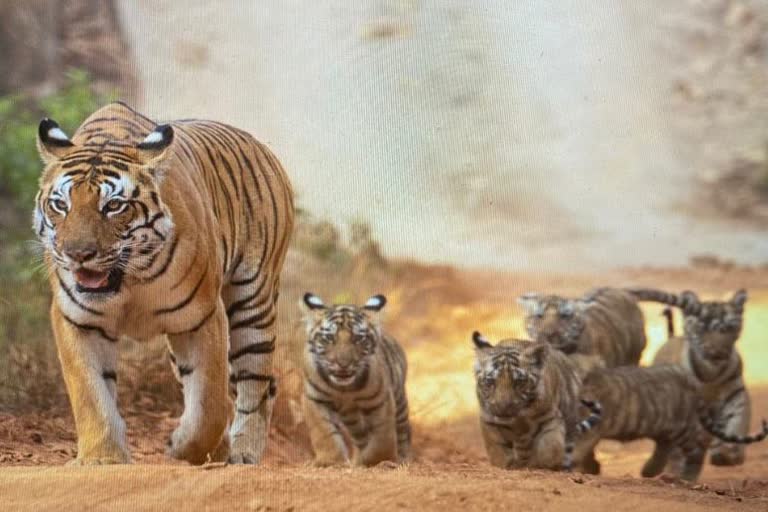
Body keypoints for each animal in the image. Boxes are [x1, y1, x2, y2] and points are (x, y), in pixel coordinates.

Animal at [32, 102, 294, 466]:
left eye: (113, 206)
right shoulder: (77, 319)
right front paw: (102, 458)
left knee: (256, 385)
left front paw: (183, 448)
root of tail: (259, 146)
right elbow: (91, 394)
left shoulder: (201, 317)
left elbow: (208, 407)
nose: (77, 255)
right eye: (60, 205)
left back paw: (242, 454)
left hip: (253, 302)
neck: (129, 281)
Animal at [300, 294, 412, 466]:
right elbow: (323, 431)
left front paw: (378, 460)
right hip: (352, 420)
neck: (344, 389)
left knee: (402, 433)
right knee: (361, 437)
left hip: (400, 404)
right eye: (329, 338)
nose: (343, 363)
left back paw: (402, 458)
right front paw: (329, 460)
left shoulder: (381, 400)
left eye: (358, 338)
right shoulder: (314, 398)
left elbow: (382, 435)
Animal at [632, 288, 752, 468]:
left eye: (730, 328)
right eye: (701, 328)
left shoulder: (736, 395)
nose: (716, 353)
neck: (711, 374)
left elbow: (736, 421)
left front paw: (728, 453)